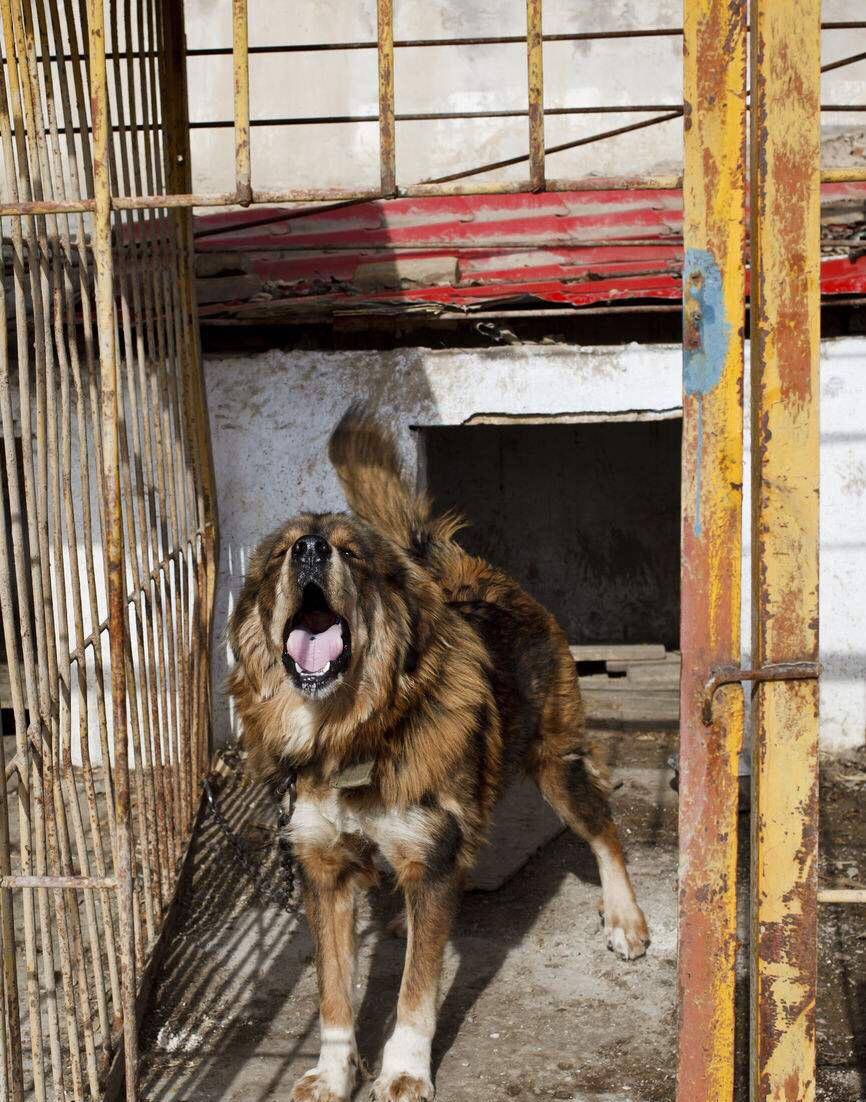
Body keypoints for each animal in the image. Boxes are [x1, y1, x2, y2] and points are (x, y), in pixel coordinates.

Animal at [229, 407, 647, 1102]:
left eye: (350, 553)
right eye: (285, 550)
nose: (311, 549)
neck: (350, 736)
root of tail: (478, 576)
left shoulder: (430, 858)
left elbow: (416, 992)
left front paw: (403, 1069)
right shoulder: (324, 871)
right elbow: (334, 995)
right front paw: (334, 1072)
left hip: (555, 765)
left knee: (603, 828)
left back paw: (625, 918)